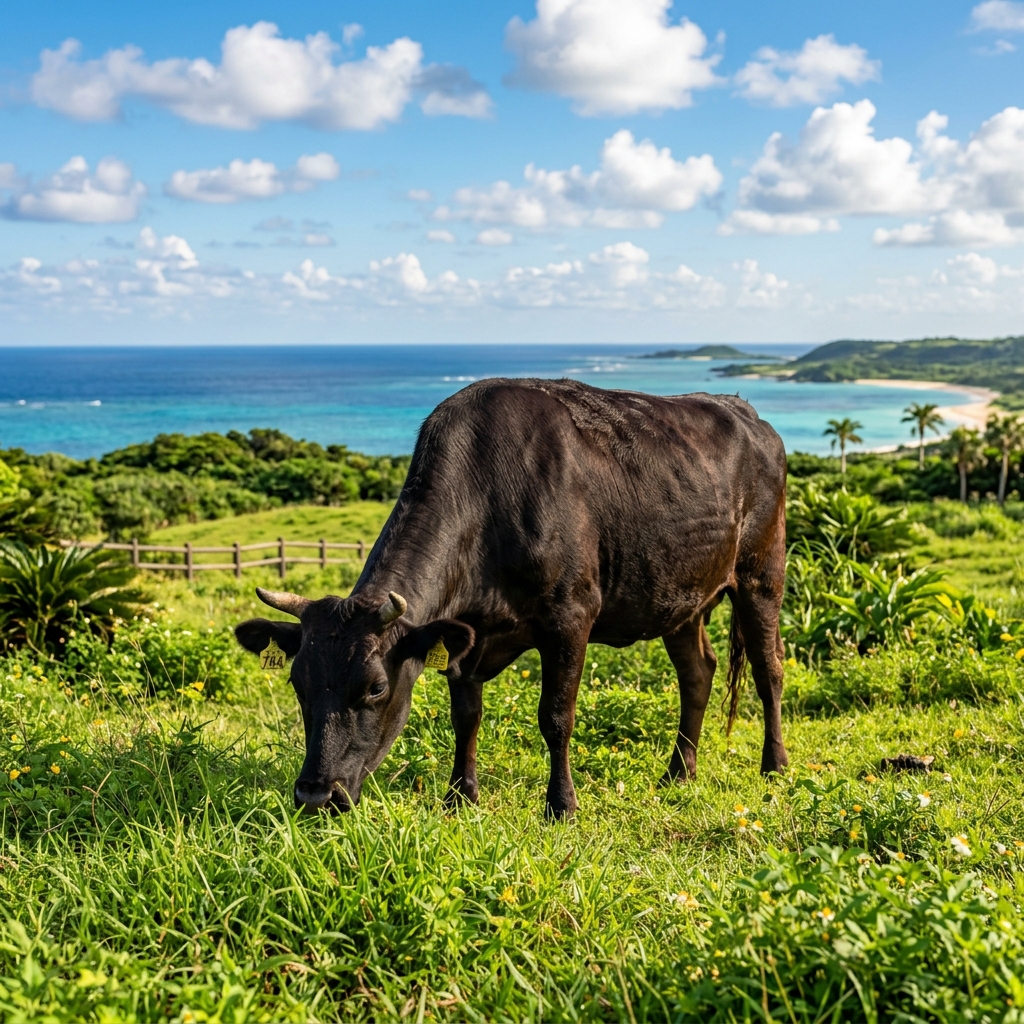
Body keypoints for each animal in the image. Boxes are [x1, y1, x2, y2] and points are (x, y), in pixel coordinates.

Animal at [235, 378, 789, 818]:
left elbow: (556, 717)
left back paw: (775, 766)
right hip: (680, 596)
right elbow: (466, 716)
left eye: (374, 688)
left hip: (762, 573)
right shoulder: (464, 635)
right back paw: (679, 772)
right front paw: (459, 797)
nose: (314, 796)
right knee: (697, 672)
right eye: (298, 683)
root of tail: (749, 415)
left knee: (769, 670)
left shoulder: (570, 616)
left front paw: (561, 805)